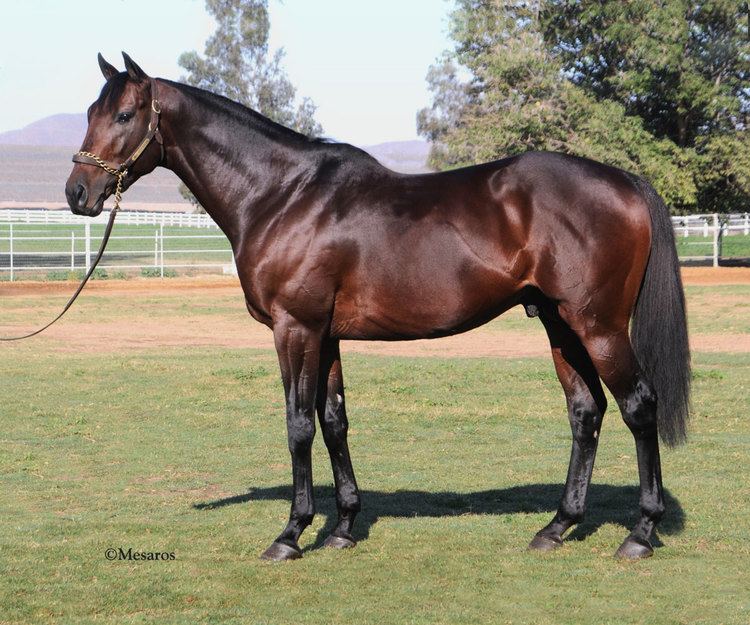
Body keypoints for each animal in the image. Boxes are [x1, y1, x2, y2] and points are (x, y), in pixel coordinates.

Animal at [66, 53, 692, 560]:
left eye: (125, 116)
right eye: (92, 112)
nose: (77, 194)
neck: (282, 194)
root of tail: (626, 183)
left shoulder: (295, 329)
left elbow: (298, 425)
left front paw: (291, 534)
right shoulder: (326, 334)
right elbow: (334, 420)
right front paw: (343, 527)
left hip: (598, 325)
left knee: (639, 406)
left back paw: (640, 534)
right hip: (560, 324)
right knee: (586, 411)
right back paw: (557, 527)